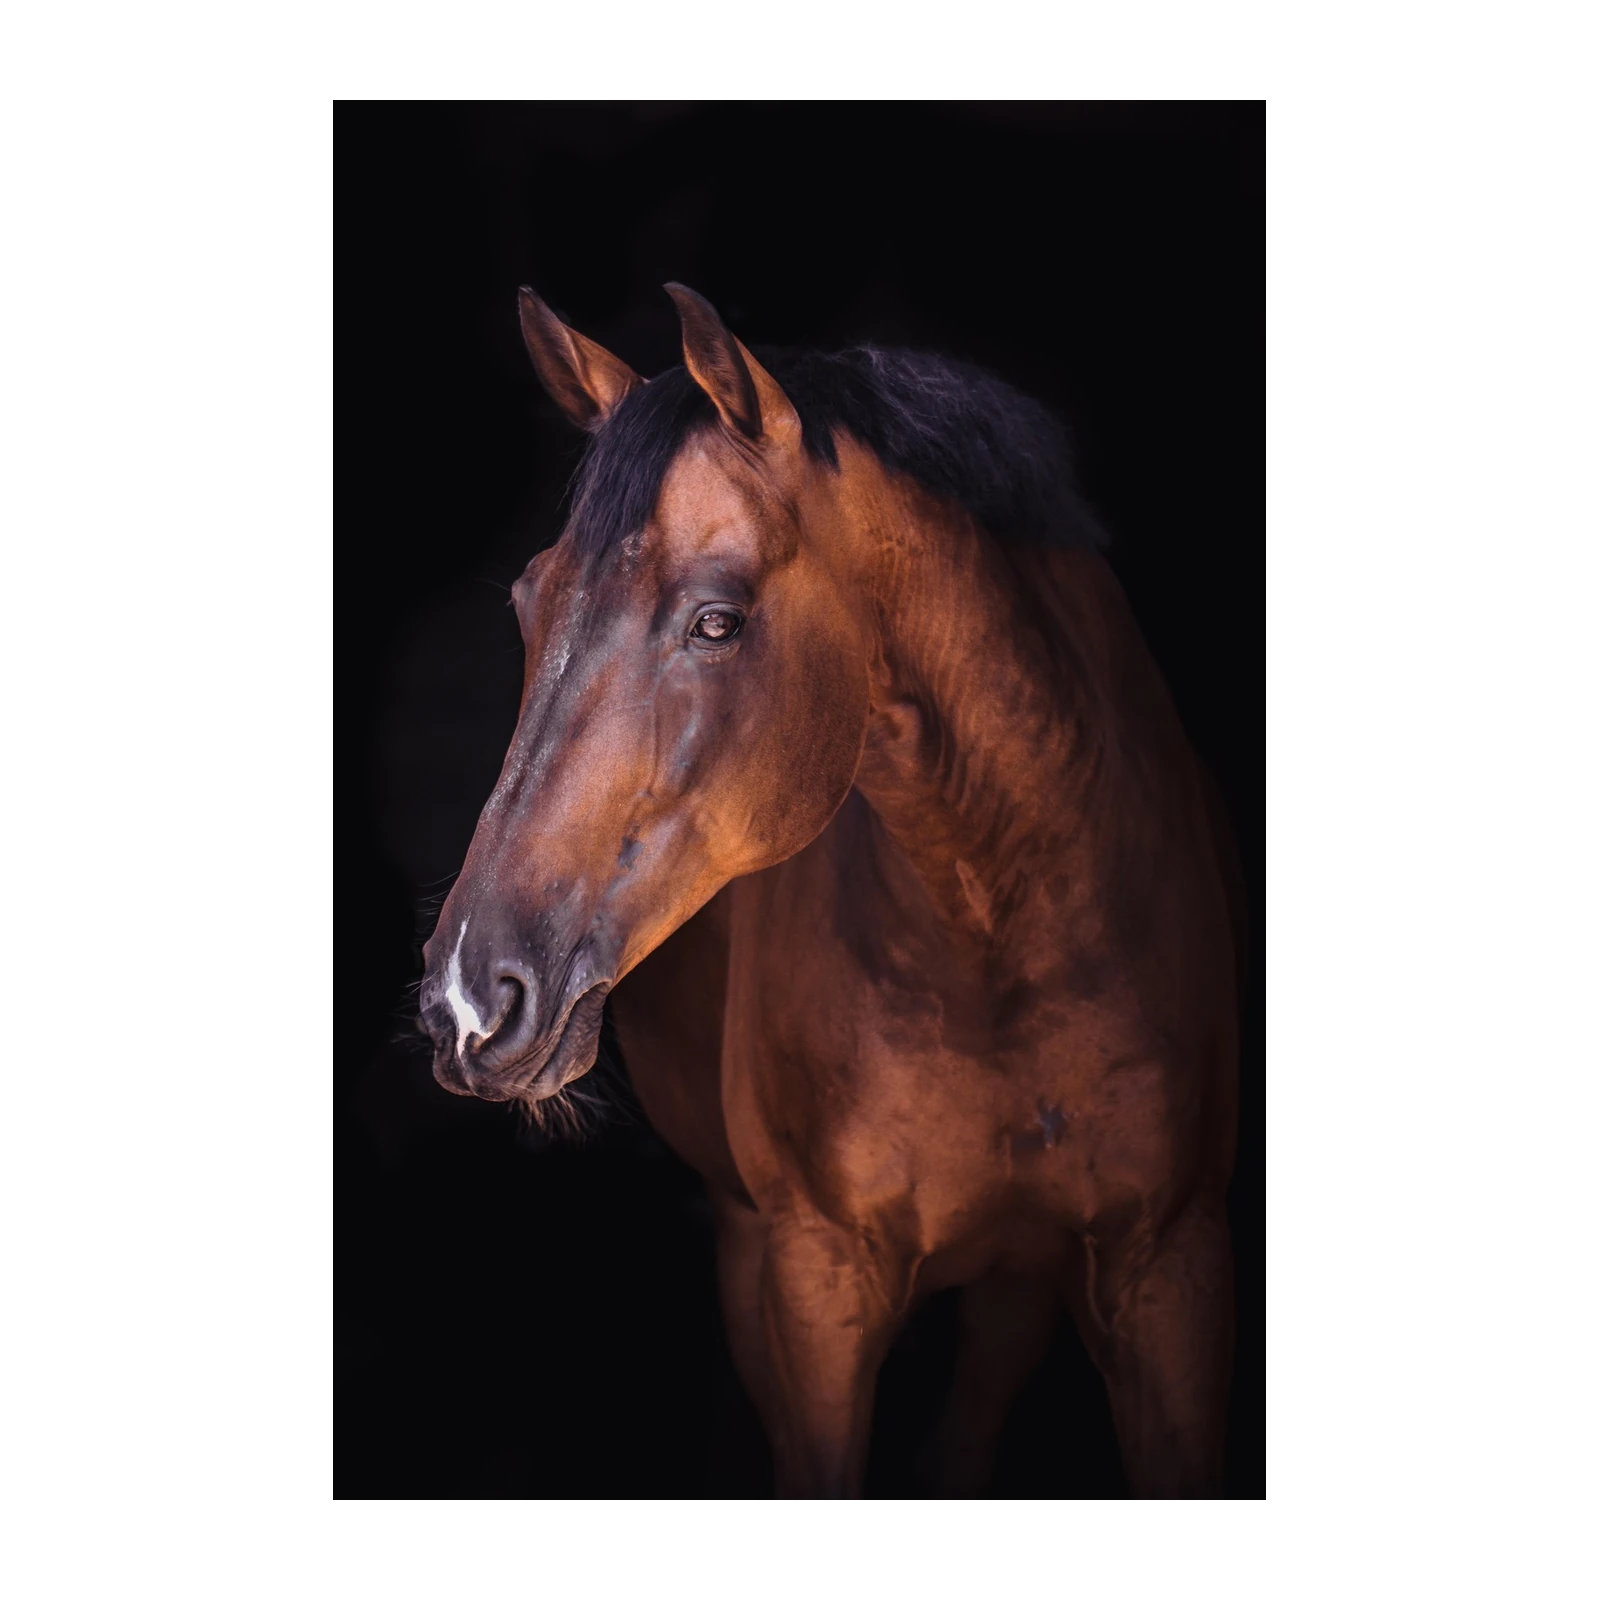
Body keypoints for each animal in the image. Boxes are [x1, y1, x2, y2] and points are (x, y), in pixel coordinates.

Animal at [417, 282, 1246, 1502]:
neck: (1008, 929)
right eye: (529, 602)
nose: (471, 999)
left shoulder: (1171, 1268)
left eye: (717, 619)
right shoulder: (816, 1282)